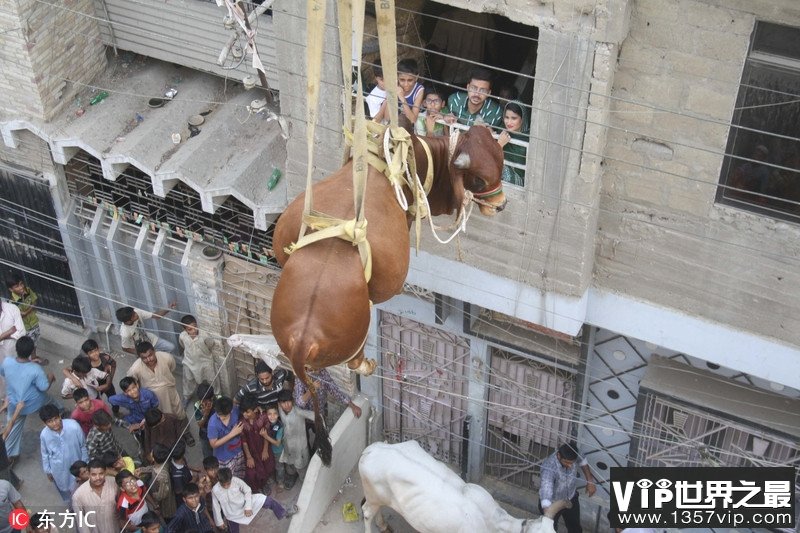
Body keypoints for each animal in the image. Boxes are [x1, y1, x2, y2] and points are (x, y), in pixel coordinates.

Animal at [272, 123, 504, 462]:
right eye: (478, 179)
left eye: (501, 163)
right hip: (355, 331)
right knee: (353, 360)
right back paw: (366, 364)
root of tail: (303, 336)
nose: (502, 205)